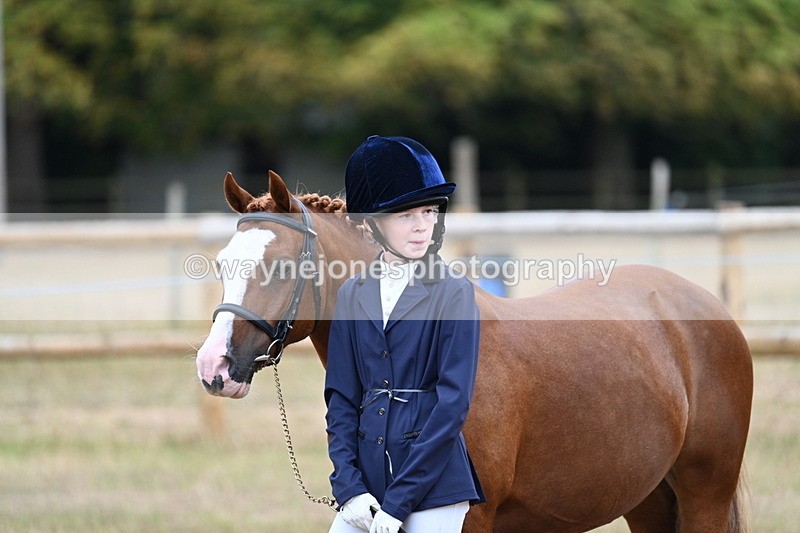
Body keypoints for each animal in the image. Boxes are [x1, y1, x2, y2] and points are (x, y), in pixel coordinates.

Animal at [196, 170, 753, 532]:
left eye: (280, 267)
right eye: (222, 263)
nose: (214, 366)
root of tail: (703, 303)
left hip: (705, 493)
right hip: (647, 498)